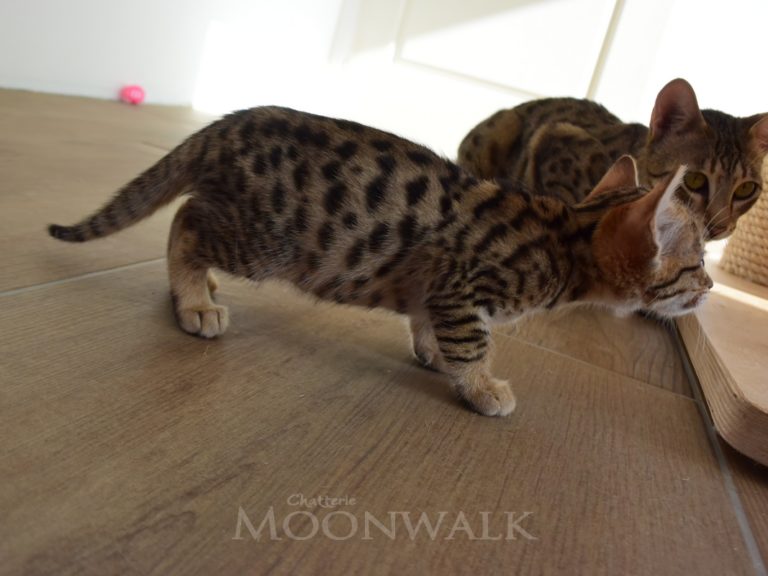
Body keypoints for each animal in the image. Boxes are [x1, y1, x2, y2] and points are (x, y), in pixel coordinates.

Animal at [48, 106, 711, 416]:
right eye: (695, 266)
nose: (709, 287)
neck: (564, 235)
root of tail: (229, 124)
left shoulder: (437, 286)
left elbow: (427, 321)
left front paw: (432, 352)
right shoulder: (464, 284)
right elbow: (472, 341)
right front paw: (481, 386)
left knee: (190, 214)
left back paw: (203, 288)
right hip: (266, 238)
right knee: (185, 223)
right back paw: (194, 300)